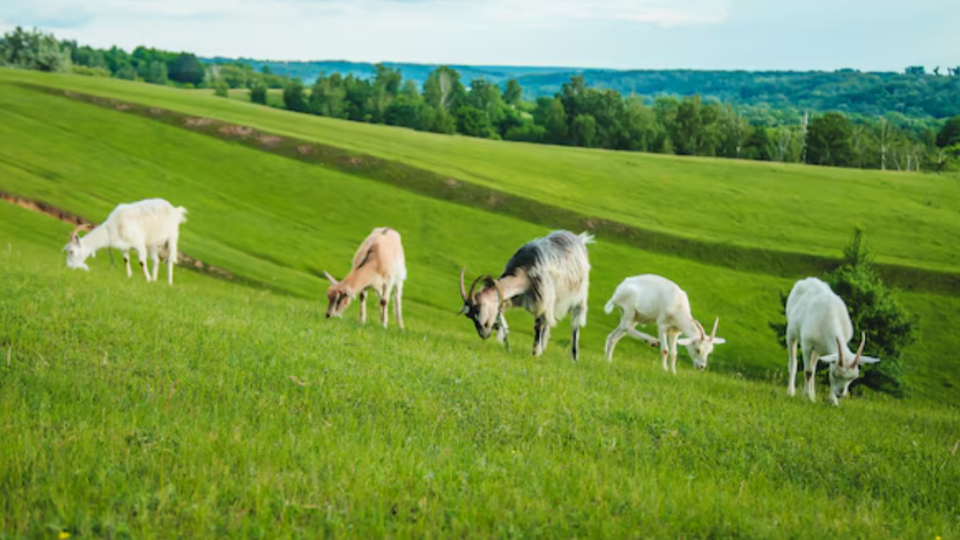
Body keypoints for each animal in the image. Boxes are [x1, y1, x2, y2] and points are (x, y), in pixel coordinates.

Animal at [460, 230, 592, 360]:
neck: (525, 271)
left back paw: (574, 357)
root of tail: (579, 239)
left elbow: (538, 325)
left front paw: (535, 354)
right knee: (548, 323)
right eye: (469, 316)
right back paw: (544, 348)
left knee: (575, 322)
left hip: (580, 293)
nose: (484, 334)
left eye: (479, 311)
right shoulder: (517, 298)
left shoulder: (542, 298)